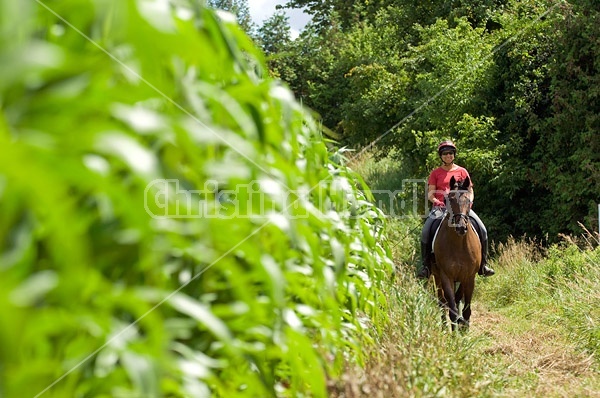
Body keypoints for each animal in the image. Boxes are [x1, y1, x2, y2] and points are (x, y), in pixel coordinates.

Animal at [432, 176, 482, 330]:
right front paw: (454, 332)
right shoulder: (446, 276)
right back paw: (444, 327)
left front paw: (465, 330)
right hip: (437, 277)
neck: (459, 244)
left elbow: (466, 308)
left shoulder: (469, 276)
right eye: (450, 199)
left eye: (468, 200)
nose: (461, 227)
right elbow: (452, 309)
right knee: (442, 302)